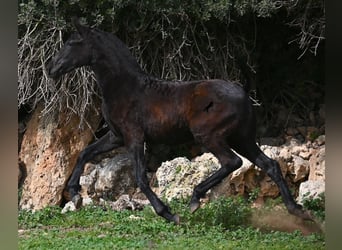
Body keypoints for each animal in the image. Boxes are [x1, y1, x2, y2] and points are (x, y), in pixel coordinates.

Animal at [46, 18, 312, 224]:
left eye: (72, 43)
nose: (51, 68)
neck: (125, 88)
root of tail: (244, 95)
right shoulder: (116, 137)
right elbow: (85, 153)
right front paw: (75, 195)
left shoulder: (134, 137)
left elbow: (141, 177)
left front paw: (168, 213)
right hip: (242, 138)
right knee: (270, 165)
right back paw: (297, 211)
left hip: (209, 135)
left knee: (232, 162)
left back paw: (194, 199)